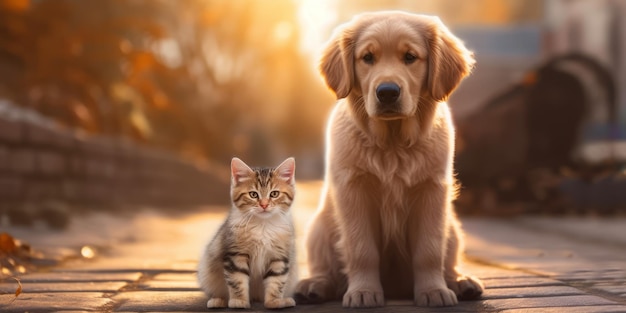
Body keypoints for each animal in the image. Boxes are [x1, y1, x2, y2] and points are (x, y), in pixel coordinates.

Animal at [200, 157, 298, 308]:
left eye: (274, 194)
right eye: (253, 194)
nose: (264, 205)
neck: (263, 225)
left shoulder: (279, 256)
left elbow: (276, 281)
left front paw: (274, 301)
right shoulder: (235, 255)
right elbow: (237, 280)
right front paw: (239, 301)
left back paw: (285, 300)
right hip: (207, 271)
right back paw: (218, 300)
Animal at [294, 11, 482, 306]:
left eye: (410, 57)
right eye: (368, 57)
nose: (387, 92)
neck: (392, 142)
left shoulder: (431, 190)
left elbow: (429, 251)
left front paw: (433, 291)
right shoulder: (354, 190)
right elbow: (362, 250)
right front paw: (363, 292)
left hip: (452, 228)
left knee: (448, 260)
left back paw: (461, 281)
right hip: (318, 228)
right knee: (326, 268)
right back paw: (314, 285)